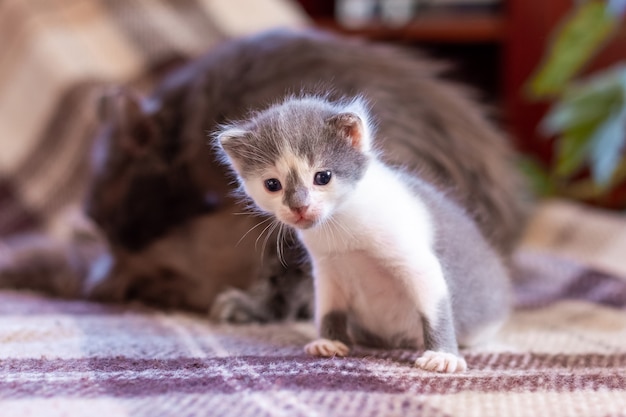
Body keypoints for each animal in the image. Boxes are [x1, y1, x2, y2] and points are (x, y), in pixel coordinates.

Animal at [217, 96, 510, 372]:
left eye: (323, 177)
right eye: (272, 184)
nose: (299, 207)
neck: (339, 226)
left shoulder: (418, 262)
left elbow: (435, 309)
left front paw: (443, 355)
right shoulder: (327, 270)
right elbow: (328, 306)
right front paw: (330, 342)